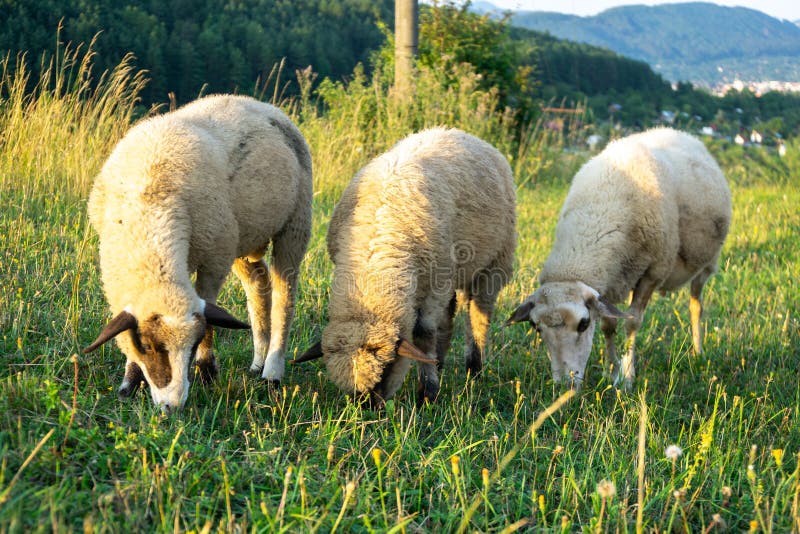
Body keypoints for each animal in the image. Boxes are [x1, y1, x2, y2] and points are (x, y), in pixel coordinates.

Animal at [83, 94, 312, 412]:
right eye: (148, 346)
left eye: (193, 345)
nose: (173, 406)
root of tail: (262, 105)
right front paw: (130, 380)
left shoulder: (214, 259)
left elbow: (210, 309)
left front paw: (206, 371)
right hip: (242, 238)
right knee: (258, 283)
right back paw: (257, 361)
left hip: (294, 223)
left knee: (284, 295)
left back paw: (272, 370)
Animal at [296, 127, 516, 408]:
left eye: (387, 368)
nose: (368, 409)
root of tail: (457, 131)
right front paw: (432, 376)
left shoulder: (435, 284)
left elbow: (424, 332)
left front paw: (427, 394)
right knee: (449, 315)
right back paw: (440, 362)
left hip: (493, 263)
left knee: (478, 315)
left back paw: (473, 370)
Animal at [506, 127, 732, 392]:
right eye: (536, 328)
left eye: (583, 324)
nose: (565, 384)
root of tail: (677, 132)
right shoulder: (610, 280)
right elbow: (608, 325)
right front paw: (610, 370)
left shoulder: (652, 272)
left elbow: (631, 322)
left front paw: (627, 377)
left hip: (706, 265)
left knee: (696, 305)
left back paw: (698, 351)